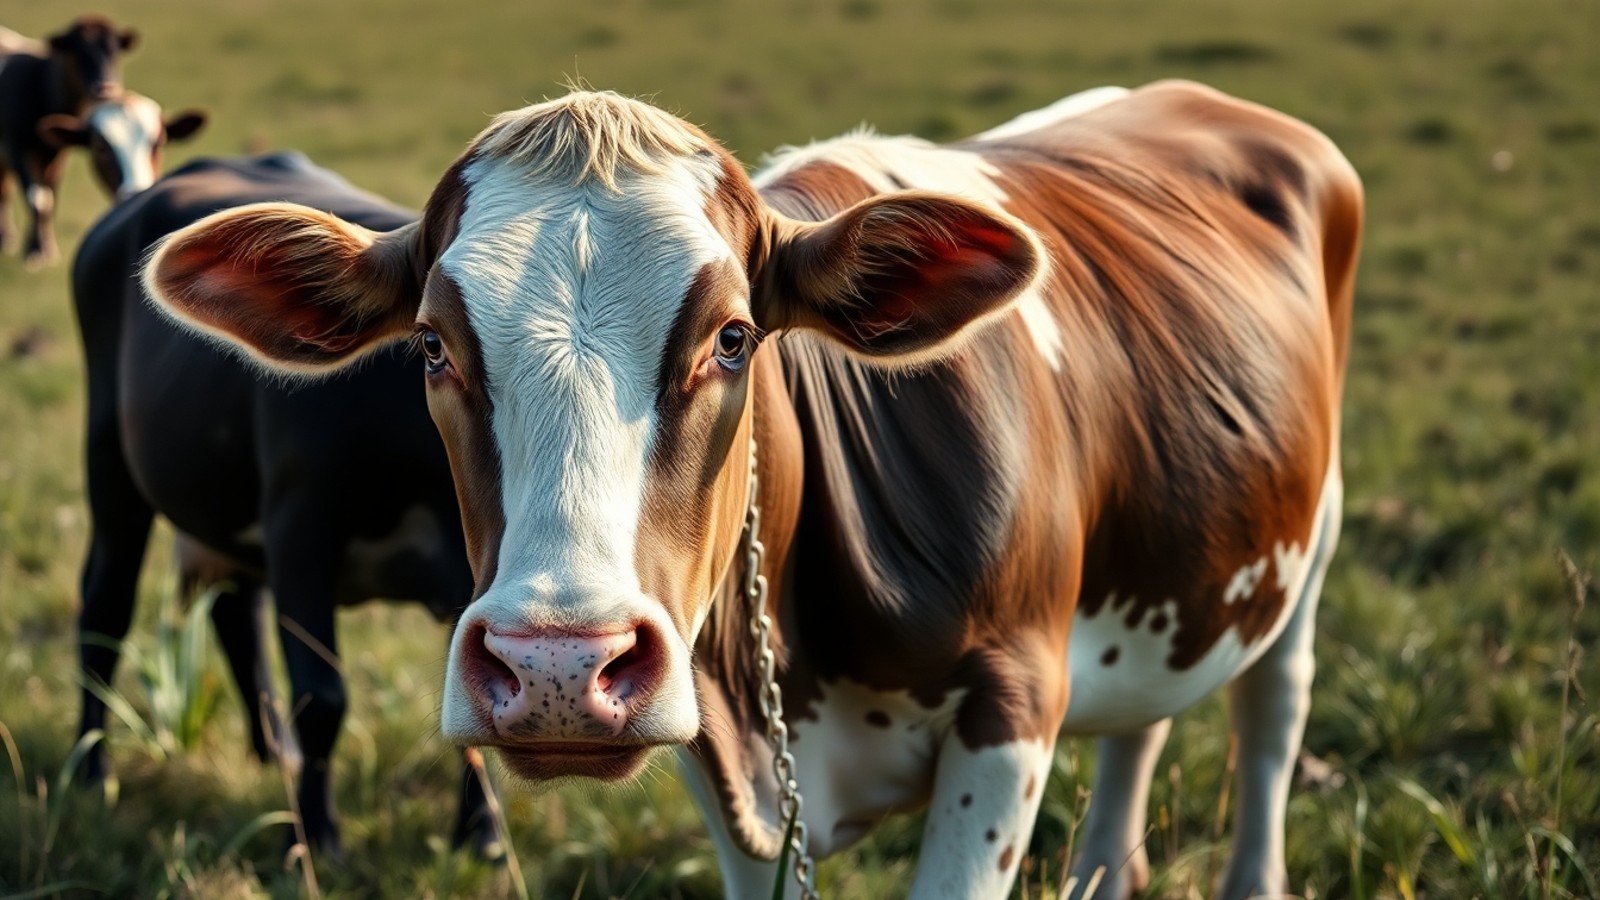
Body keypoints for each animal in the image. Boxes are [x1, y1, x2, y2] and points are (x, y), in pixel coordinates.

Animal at [0, 15, 137, 266]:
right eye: (79, 52)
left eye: (114, 51)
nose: (105, 88)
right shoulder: (17, 147)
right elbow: (38, 198)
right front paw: (34, 251)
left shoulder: (57, 154)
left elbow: (49, 198)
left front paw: (46, 248)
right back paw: (7, 238)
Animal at [70, 151, 495, 857]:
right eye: (434, 341)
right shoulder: (300, 522)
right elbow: (322, 697)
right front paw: (318, 839)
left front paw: (481, 832)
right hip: (110, 462)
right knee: (104, 604)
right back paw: (89, 772)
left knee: (234, 612)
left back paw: (275, 753)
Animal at [142, 82, 1362, 898]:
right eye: (434, 347)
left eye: (733, 337)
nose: (556, 668)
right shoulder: (711, 754)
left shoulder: (1012, 711)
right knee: (1143, 725)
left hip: (1311, 544)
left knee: (1271, 714)